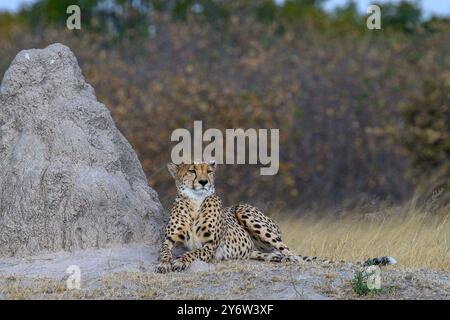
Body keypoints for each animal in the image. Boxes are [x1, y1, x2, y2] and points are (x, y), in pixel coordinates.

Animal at [156, 161, 398, 272]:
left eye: (209, 170)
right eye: (191, 170)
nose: (204, 182)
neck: (195, 203)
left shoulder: (210, 245)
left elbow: (193, 252)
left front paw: (179, 261)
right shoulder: (169, 239)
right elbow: (164, 251)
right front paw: (164, 263)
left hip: (245, 211)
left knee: (293, 253)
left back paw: (291, 259)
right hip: (257, 248)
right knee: (276, 254)